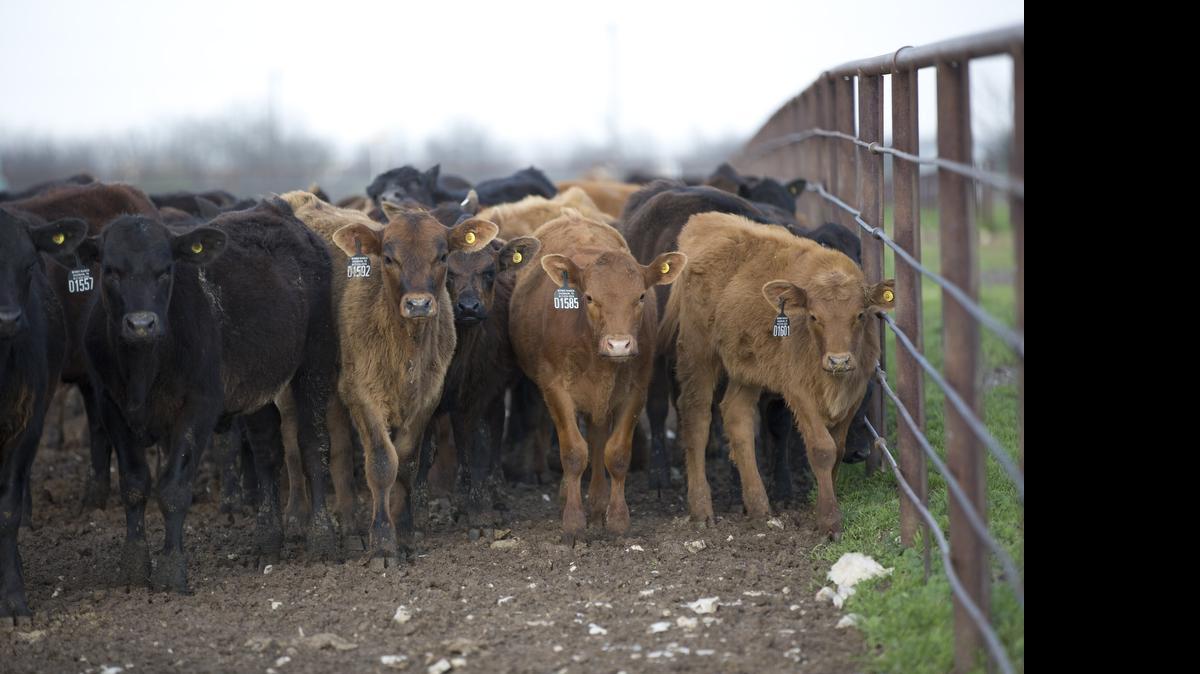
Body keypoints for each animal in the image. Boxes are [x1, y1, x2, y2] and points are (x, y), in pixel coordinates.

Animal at [78, 199, 339, 591]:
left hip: (315, 363)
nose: (141, 324)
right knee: (267, 453)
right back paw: (268, 540)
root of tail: (279, 211)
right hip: (258, 386)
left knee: (312, 445)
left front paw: (171, 570)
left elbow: (173, 489)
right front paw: (134, 566)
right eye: (110, 271)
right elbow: (135, 484)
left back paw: (321, 538)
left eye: (165, 270)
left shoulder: (198, 406)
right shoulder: (111, 406)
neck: (144, 366)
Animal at [280, 191, 497, 566]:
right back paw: (301, 521)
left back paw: (351, 527)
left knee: (338, 449)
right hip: (297, 387)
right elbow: (382, 463)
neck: (405, 345)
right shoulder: (363, 393)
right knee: (297, 443)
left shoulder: (426, 397)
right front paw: (383, 543)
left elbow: (406, 463)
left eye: (442, 255)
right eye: (388, 257)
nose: (419, 304)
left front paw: (405, 534)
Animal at [509, 209, 685, 543]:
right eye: (589, 297)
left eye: (640, 296)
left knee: (598, 436)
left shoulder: (635, 390)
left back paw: (597, 502)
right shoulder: (555, 388)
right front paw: (573, 522)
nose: (618, 344)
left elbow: (615, 454)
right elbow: (574, 453)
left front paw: (616, 519)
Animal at [662, 212, 894, 537]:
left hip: (745, 369)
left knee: (737, 416)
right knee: (696, 416)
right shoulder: (798, 391)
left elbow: (837, 448)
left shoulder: (854, 392)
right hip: (698, 353)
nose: (838, 360)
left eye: (859, 315)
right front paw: (829, 521)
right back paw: (702, 509)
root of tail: (703, 222)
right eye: (814, 316)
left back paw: (759, 507)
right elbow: (822, 449)